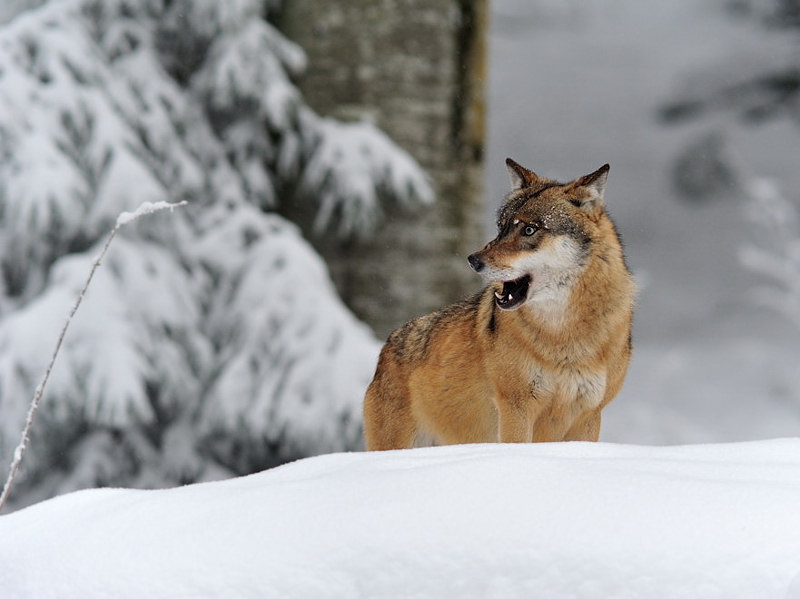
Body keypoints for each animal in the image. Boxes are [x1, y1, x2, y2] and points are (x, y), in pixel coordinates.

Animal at [363, 158, 636, 449]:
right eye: (501, 227)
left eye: (529, 229)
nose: (473, 260)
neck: (562, 335)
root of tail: (388, 343)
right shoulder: (516, 407)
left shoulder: (589, 415)